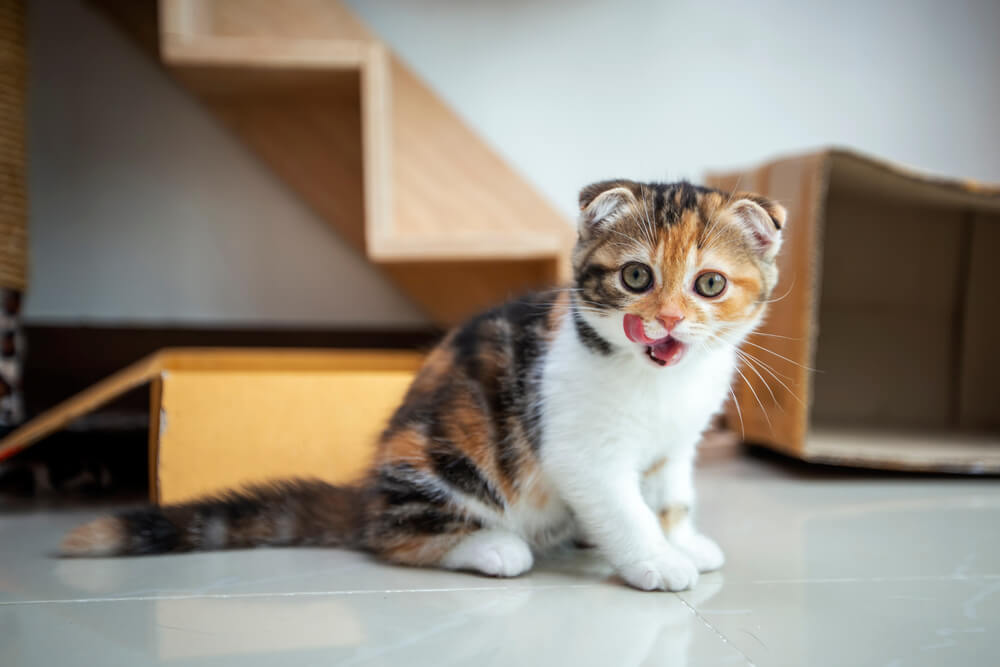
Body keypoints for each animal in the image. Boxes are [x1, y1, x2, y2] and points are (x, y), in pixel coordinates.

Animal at [62, 180, 784, 592]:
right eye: (636, 277)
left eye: (710, 284)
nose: (667, 320)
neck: (660, 379)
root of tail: (368, 491)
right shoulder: (580, 447)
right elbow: (624, 506)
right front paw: (655, 561)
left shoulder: (675, 445)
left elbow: (671, 495)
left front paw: (682, 539)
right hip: (445, 452)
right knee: (396, 536)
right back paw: (491, 547)